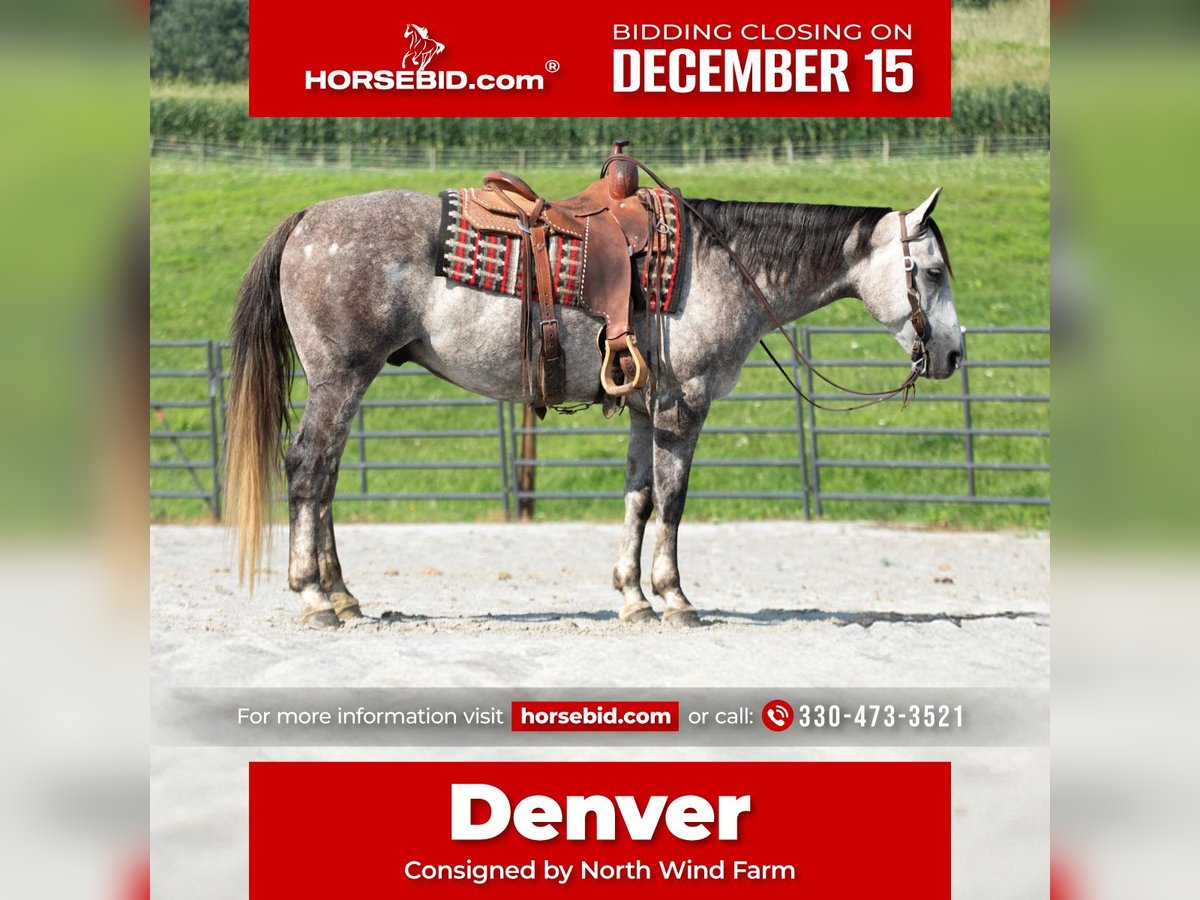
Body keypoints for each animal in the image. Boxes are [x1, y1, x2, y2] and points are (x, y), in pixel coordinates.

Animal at [224, 182, 964, 629]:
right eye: (931, 272)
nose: (954, 353)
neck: (722, 266)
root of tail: (307, 220)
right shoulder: (682, 409)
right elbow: (672, 502)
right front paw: (675, 598)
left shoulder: (643, 409)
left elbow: (638, 498)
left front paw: (633, 599)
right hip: (340, 378)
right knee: (309, 469)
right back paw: (314, 597)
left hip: (347, 383)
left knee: (325, 480)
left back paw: (344, 595)